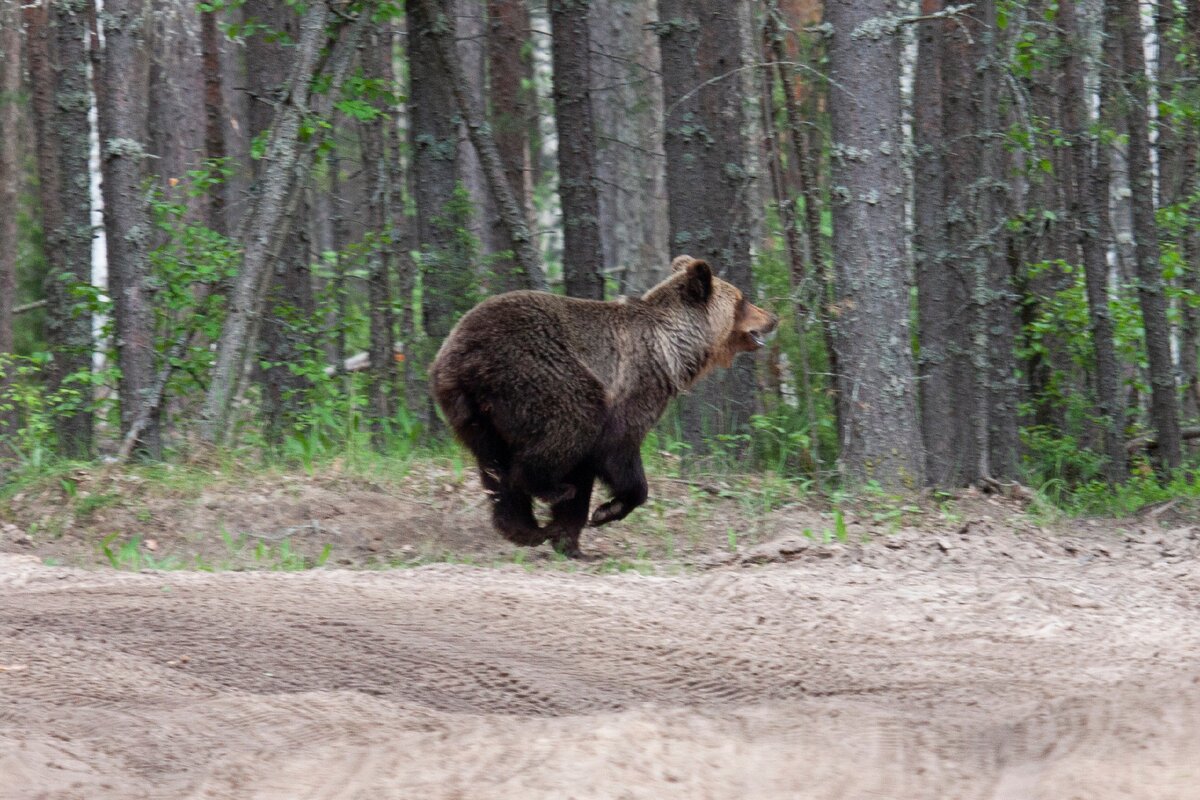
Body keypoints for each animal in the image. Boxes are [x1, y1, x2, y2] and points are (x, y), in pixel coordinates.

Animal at [432, 255, 777, 556]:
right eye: (743, 300)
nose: (773, 318)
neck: (674, 351)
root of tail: (461, 358)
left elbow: (584, 472)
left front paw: (568, 537)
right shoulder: (636, 386)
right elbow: (617, 450)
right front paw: (605, 511)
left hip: (472, 414)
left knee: (496, 469)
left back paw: (525, 528)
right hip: (538, 374)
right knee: (569, 424)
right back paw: (550, 489)